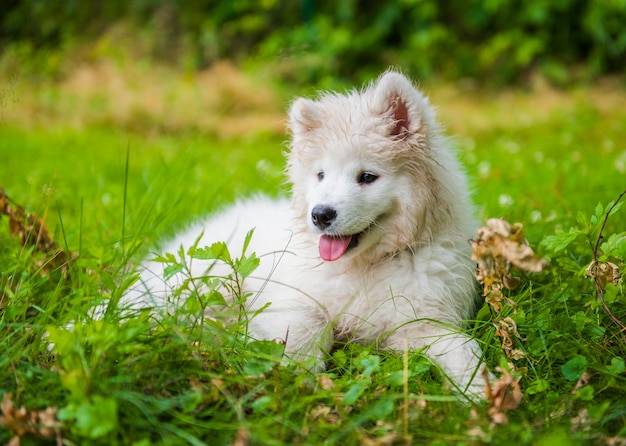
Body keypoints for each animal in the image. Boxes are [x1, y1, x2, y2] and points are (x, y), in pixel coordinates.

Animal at [124, 71, 488, 398]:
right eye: (321, 175)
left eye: (367, 176)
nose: (320, 215)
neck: (368, 266)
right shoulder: (291, 296)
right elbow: (307, 325)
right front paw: (297, 377)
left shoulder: (424, 322)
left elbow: (463, 350)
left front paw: (480, 394)